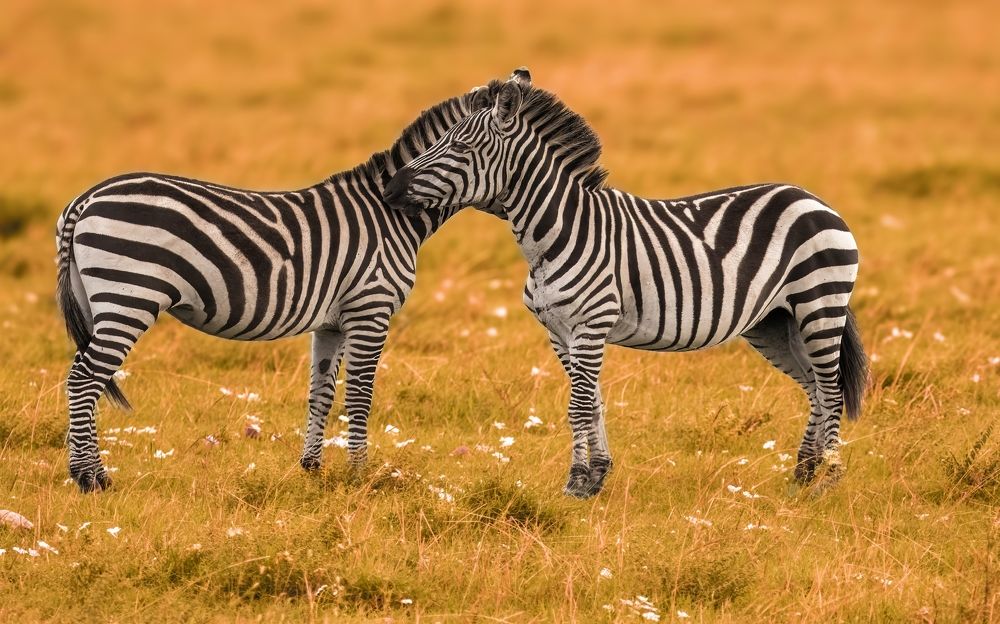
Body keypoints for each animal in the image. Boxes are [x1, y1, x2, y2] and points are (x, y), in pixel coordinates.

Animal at [55, 82, 501, 492]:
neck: (388, 217)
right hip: (129, 296)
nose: (394, 193)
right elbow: (360, 394)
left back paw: (86, 471)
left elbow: (321, 392)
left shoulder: (333, 322)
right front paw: (359, 475)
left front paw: (313, 470)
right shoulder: (370, 309)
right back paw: (91, 478)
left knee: (83, 375)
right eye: (455, 146)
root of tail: (85, 199)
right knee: (85, 378)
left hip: (97, 300)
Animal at [384, 70, 868, 498]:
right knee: (814, 388)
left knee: (831, 389)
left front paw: (577, 482)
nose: (390, 188)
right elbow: (591, 402)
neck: (557, 233)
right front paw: (596, 476)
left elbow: (579, 405)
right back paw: (803, 474)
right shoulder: (559, 332)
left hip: (819, 304)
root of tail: (812, 197)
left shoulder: (591, 324)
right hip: (775, 322)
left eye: (459, 146)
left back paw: (828, 480)